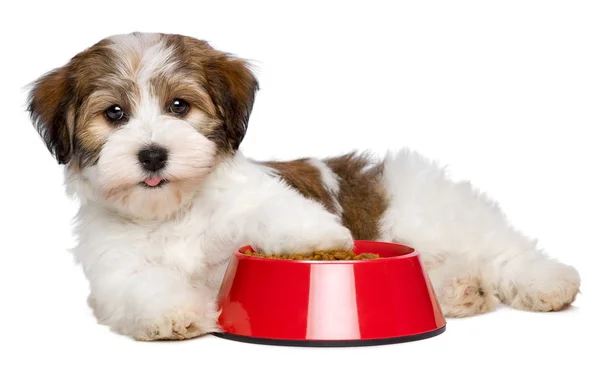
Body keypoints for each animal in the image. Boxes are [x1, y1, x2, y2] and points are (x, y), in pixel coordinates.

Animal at [27, 32, 580, 340]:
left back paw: (545, 282)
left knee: (501, 250)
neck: (174, 211)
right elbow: (142, 286)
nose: (152, 153)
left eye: (179, 106)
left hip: (433, 213)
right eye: (114, 114)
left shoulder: (256, 200)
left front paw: (315, 240)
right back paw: (463, 291)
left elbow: (278, 213)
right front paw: (172, 314)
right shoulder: (115, 268)